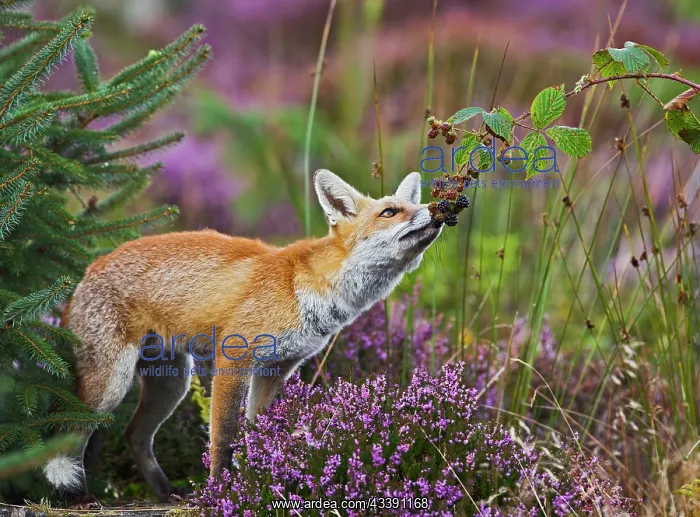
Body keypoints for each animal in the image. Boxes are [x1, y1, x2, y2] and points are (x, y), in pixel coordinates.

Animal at [43, 169, 443, 502]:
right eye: (389, 212)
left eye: (413, 204)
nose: (438, 207)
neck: (305, 290)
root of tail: (85, 272)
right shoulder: (233, 362)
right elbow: (224, 437)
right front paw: (221, 491)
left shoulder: (275, 370)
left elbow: (258, 432)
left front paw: (260, 476)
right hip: (111, 387)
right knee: (70, 436)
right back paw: (76, 497)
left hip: (172, 383)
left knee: (134, 435)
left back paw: (165, 492)